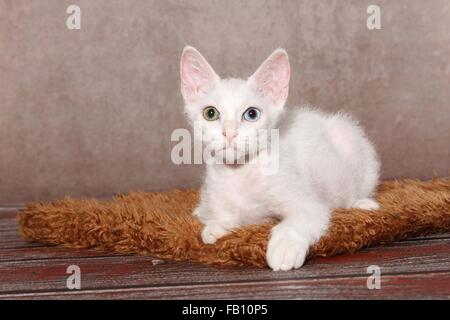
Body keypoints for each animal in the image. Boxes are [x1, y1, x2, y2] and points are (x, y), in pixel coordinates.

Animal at [179, 45, 380, 270]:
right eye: (211, 113)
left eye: (251, 114)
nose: (229, 133)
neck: (239, 173)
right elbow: (226, 218)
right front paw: (215, 227)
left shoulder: (309, 205)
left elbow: (296, 221)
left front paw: (285, 248)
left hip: (353, 145)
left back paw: (362, 203)